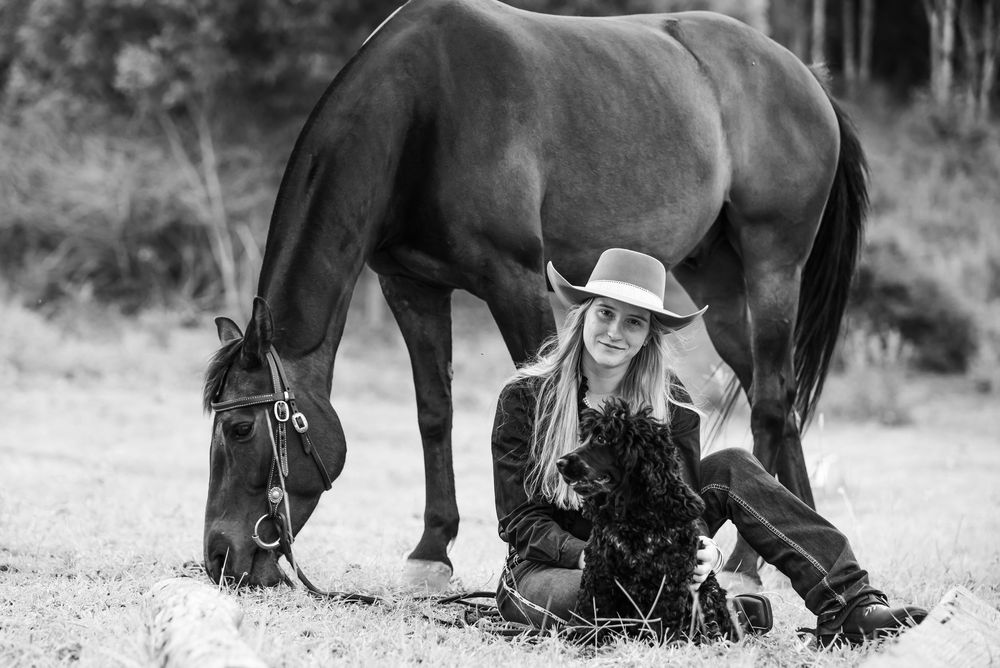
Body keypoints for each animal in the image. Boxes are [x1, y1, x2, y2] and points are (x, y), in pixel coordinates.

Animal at [203, 0, 866, 589]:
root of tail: (806, 78)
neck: (425, 108)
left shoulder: (515, 278)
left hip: (772, 267)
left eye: (240, 430)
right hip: (720, 285)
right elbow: (433, 410)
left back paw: (746, 568)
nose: (218, 557)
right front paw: (431, 552)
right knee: (775, 396)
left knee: (772, 402)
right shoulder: (411, 286)